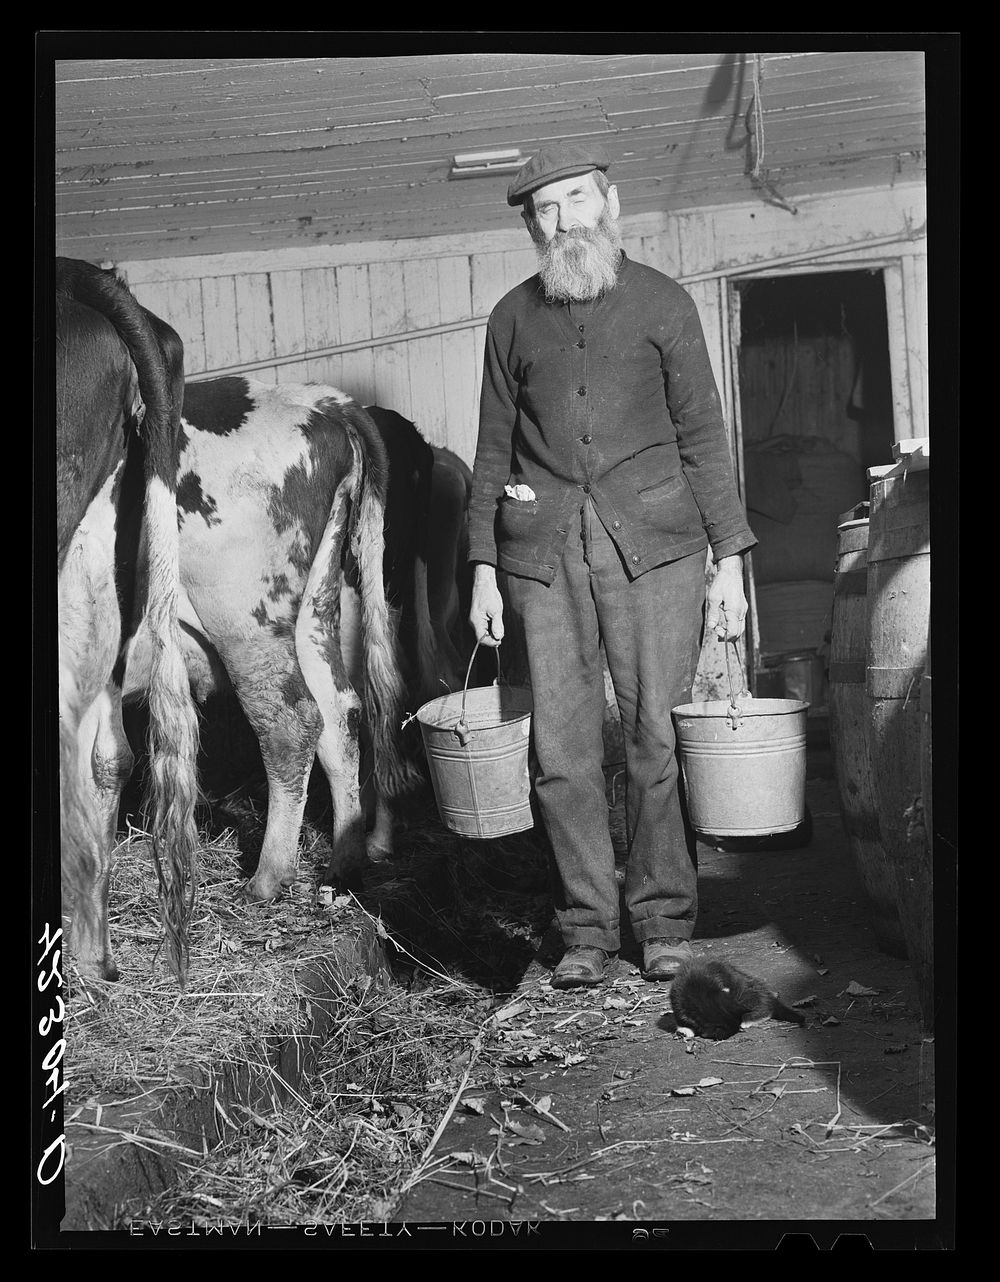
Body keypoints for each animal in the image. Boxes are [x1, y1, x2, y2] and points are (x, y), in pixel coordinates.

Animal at [125, 374, 423, 897]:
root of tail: (318, 401)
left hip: (247, 620)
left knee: (292, 722)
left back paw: (270, 876)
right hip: (316, 611)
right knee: (344, 713)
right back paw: (346, 862)